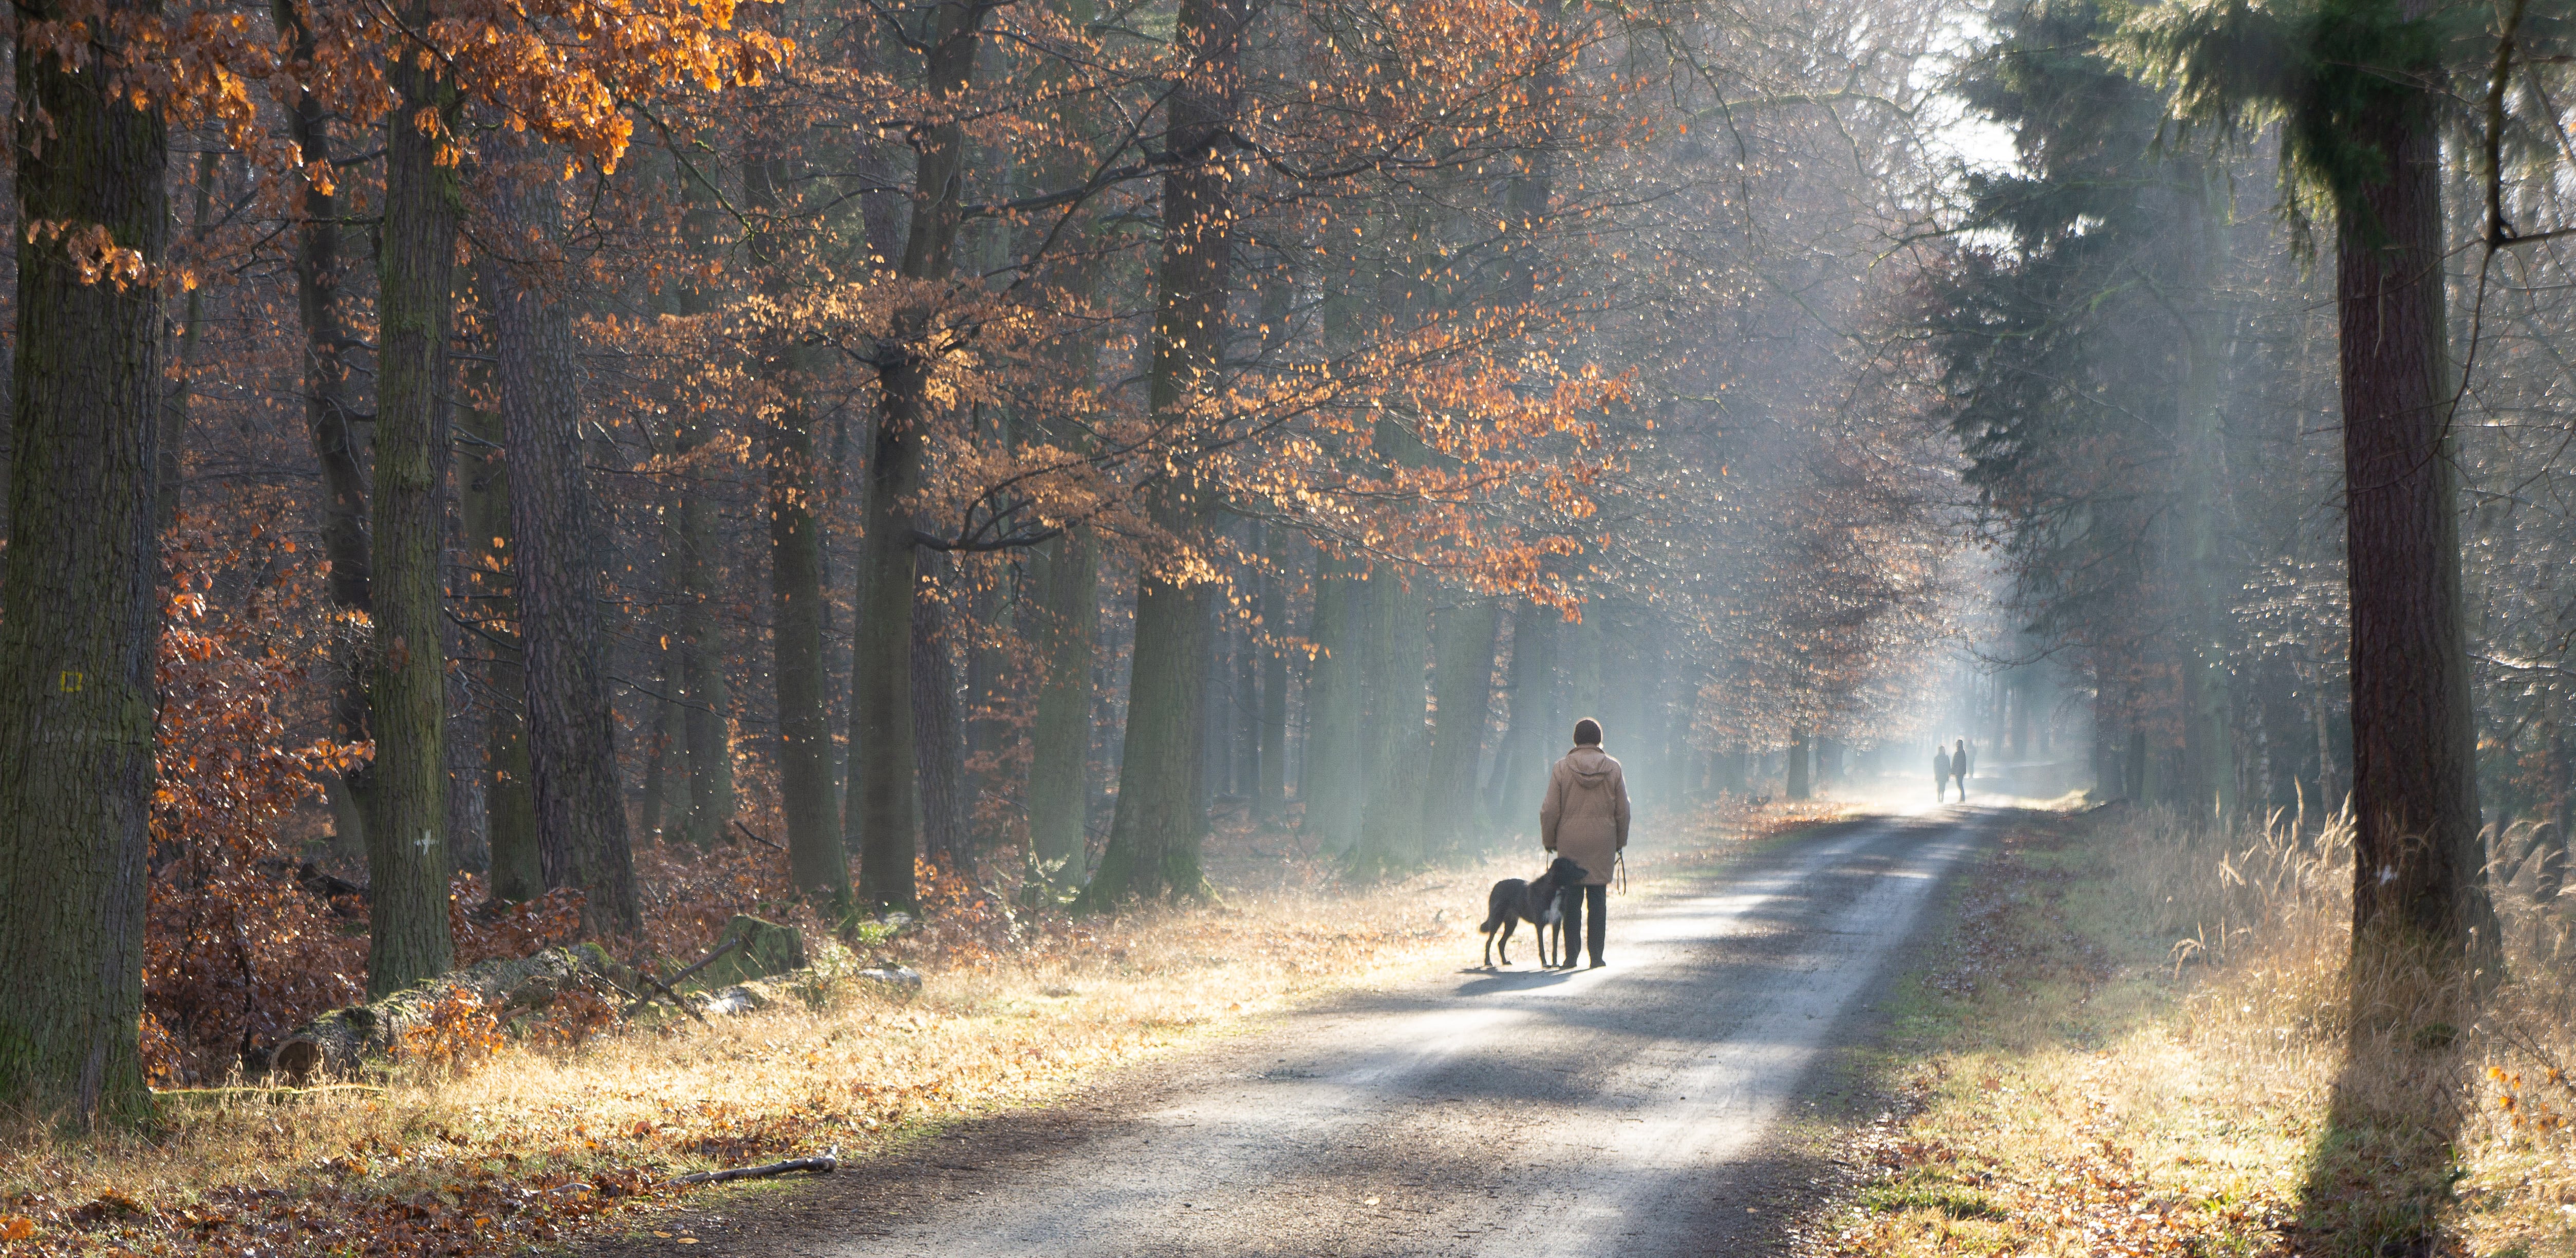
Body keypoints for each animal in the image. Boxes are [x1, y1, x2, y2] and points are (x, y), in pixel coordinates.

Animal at [1494, 861, 1586, 969]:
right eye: (1572, 867)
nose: (1587, 872)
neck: (1554, 890)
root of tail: (1497, 884)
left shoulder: (1557, 924)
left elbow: (1555, 947)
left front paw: (1555, 963)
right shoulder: (1540, 925)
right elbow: (1542, 947)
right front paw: (1545, 963)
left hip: (1511, 925)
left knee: (1500, 943)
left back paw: (1505, 961)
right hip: (1496, 920)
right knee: (1489, 942)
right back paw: (1488, 961)